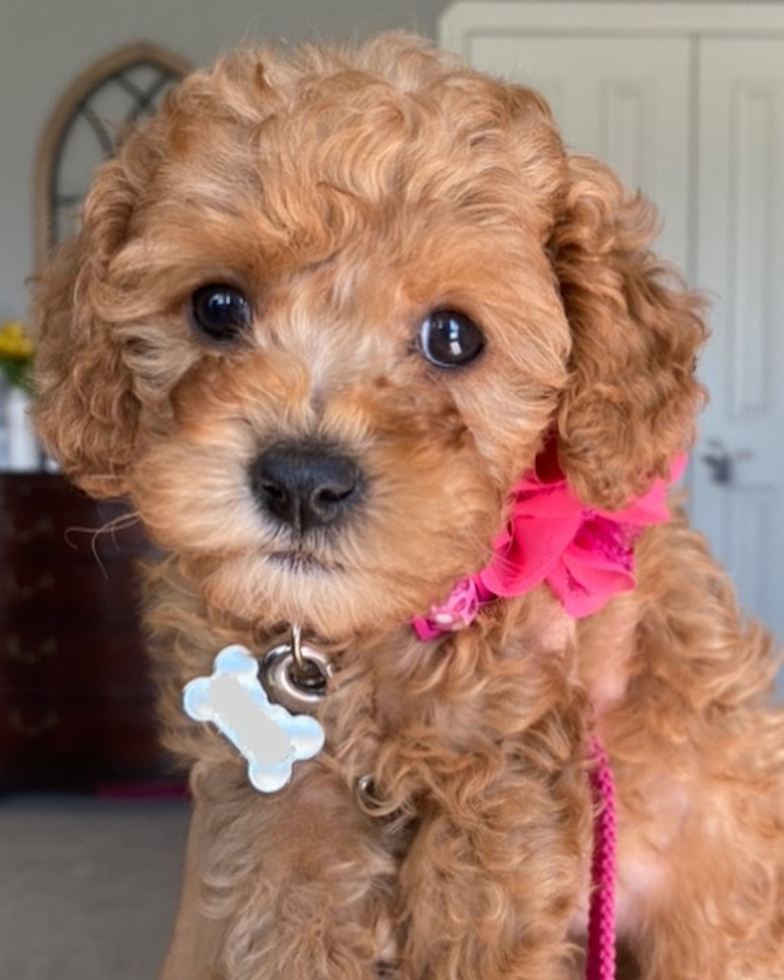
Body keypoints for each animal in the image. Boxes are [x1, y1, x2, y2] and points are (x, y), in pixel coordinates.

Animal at [32, 32, 784, 980]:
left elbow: (488, 865)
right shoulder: (276, 770)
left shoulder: (535, 729)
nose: (303, 480)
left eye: (453, 337)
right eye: (216, 307)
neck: (369, 637)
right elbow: (289, 859)